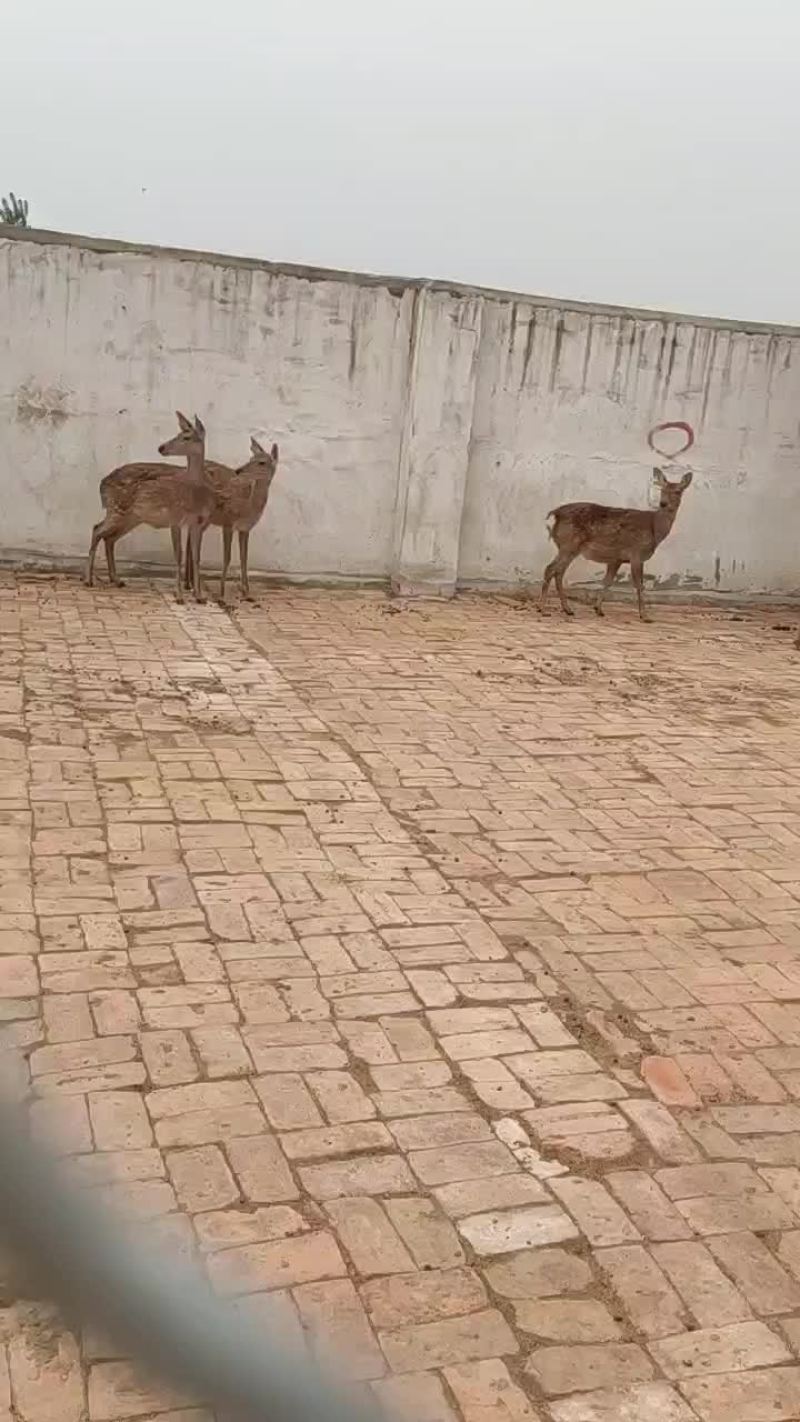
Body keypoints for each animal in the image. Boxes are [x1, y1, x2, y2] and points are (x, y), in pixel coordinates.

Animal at [85, 412, 216, 603]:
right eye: (178, 433)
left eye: (186, 436)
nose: (161, 447)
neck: (195, 495)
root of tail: (101, 485)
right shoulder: (175, 518)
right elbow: (178, 555)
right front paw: (179, 596)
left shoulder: (198, 523)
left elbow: (197, 558)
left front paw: (199, 597)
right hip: (117, 509)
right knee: (97, 529)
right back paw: (88, 580)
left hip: (131, 517)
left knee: (109, 538)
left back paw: (116, 579)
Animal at [182, 438, 280, 602]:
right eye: (251, 458)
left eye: (261, 462)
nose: (239, 470)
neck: (248, 507)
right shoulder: (228, 522)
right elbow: (227, 557)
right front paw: (222, 594)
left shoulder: (245, 528)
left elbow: (244, 559)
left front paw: (247, 593)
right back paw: (192, 586)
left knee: (191, 537)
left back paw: (189, 584)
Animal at [538, 467, 693, 622]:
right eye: (662, 489)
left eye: (678, 491)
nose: (663, 503)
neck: (655, 529)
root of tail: (555, 514)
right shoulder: (636, 553)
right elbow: (639, 585)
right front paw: (644, 616)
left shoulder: (617, 559)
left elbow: (608, 581)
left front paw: (598, 609)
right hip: (569, 544)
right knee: (550, 569)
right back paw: (542, 609)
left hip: (569, 548)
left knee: (558, 572)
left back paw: (567, 609)